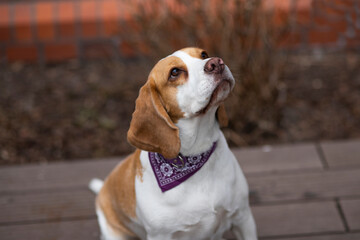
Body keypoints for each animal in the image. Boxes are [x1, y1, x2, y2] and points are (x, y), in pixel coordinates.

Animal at [90, 47, 258, 240]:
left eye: (204, 54)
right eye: (175, 72)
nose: (216, 63)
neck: (196, 154)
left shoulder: (243, 217)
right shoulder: (160, 235)